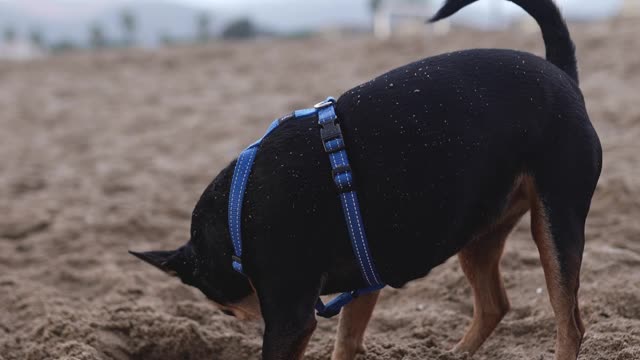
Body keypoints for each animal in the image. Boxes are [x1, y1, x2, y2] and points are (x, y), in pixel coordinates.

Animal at [130, 1, 600, 358]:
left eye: (224, 309)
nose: (241, 318)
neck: (234, 219)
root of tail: (560, 72)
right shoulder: (362, 279)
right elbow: (347, 341)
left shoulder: (290, 318)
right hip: (479, 231)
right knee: (494, 305)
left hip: (554, 222)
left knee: (569, 322)